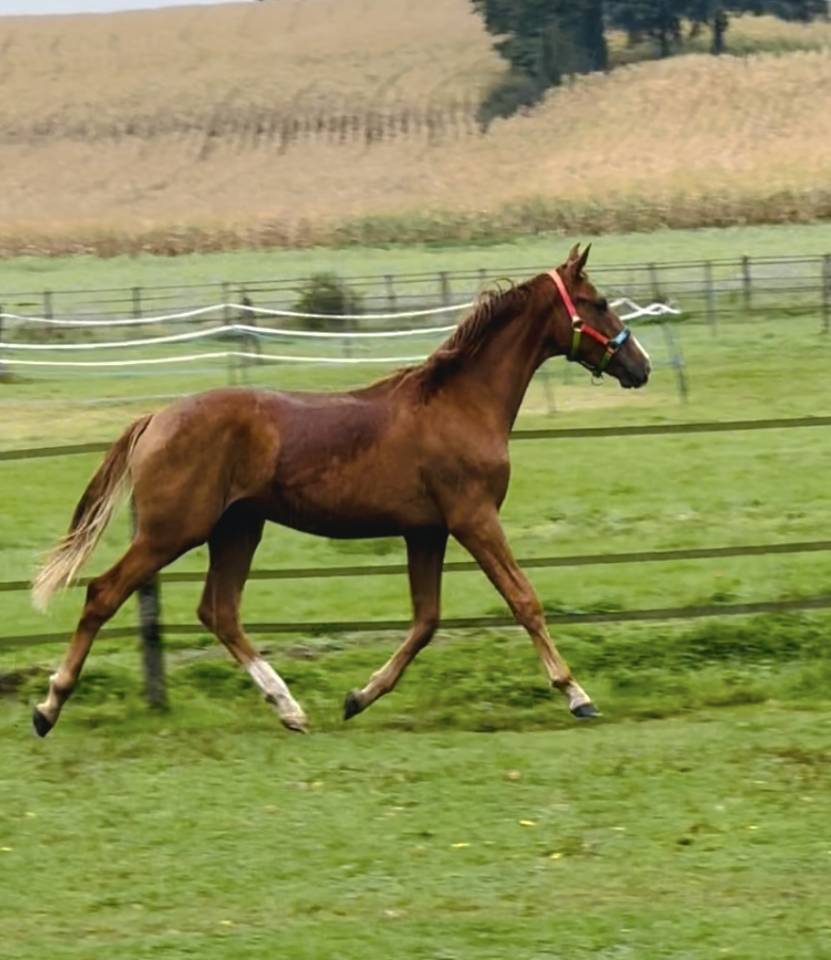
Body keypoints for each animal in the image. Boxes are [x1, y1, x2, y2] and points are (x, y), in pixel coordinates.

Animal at [31, 244, 650, 737]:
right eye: (597, 302)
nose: (639, 366)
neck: (461, 404)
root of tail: (156, 418)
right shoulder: (473, 518)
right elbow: (524, 600)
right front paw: (577, 695)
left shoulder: (426, 531)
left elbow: (426, 620)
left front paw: (357, 697)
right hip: (173, 530)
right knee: (103, 594)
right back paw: (48, 707)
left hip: (238, 528)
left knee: (219, 611)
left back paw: (289, 708)